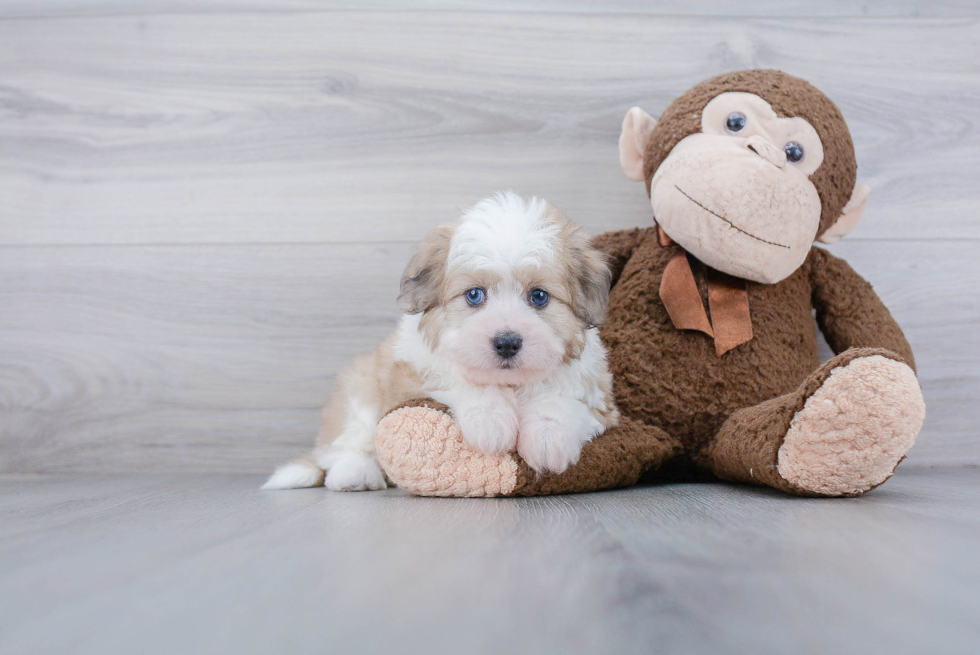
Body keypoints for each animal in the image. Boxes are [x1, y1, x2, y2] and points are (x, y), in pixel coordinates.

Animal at [264, 193, 616, 492]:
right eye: (474, 295)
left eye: (539, 296)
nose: (506, 342)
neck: (510, 384)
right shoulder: (414, 373)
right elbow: (462, 381)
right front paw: (490, 420)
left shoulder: (598, 396)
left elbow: (562, 399)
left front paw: (548, 438)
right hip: (360, 389)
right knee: (345, 445)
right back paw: (355, 474)